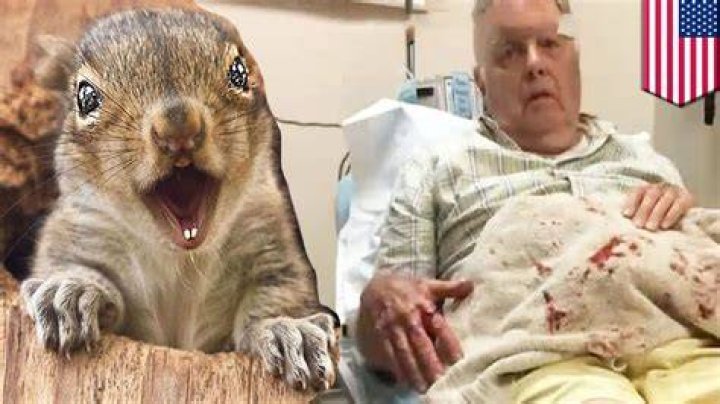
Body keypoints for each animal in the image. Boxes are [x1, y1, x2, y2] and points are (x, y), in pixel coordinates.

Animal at [20, 8, 338, 391]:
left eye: (239, 73)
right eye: (85, 98)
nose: (178, 128)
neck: (180, 259)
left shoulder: (272, 246)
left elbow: (280, 292)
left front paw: (287, 329)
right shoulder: (75, 233)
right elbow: (70, 267)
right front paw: (71, 291)